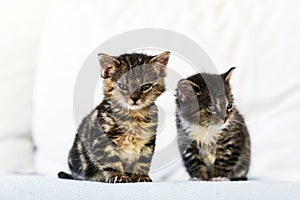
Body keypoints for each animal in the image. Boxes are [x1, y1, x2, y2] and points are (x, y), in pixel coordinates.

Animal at [57, 51, 170, 183]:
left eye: (145, 86)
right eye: (123, 86)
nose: (134, 98)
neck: (133, 117)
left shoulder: (148, 141)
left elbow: (143, 161)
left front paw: (141, 176)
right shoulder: (102, 139)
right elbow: (111, 161)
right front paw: (118, 176)